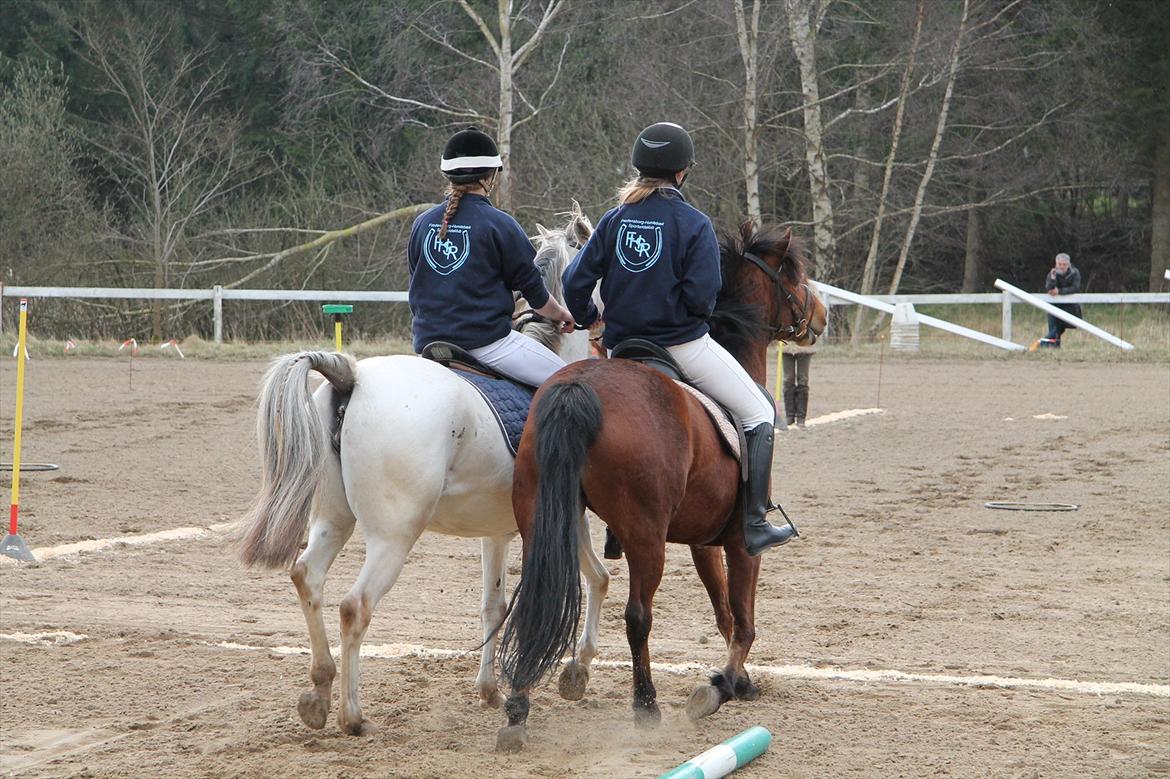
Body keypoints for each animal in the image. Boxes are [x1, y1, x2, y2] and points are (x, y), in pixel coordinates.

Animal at [236, 205, 611, 736]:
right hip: (394, 534)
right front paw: (577, 670)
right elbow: (597, 577)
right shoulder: (568, 514)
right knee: (355, 606)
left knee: (308, 578)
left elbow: (493, 606)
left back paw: (319, 693)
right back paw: (353, 716)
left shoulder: (496, 530)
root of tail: (351, 377)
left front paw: (489, 690)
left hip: (334, 519)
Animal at [495, 222, 827, 751]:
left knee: (536, 600)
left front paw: (739, 681)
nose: (821, 315)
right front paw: (721, 687)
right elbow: (744, 619)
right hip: (645, 537)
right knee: (637, 617)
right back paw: (645, 705)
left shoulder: (703, 542)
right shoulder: (740, 541)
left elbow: (723, 612)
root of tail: (577, 386)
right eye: (793, 274)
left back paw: (518, 712)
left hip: (540, 521)